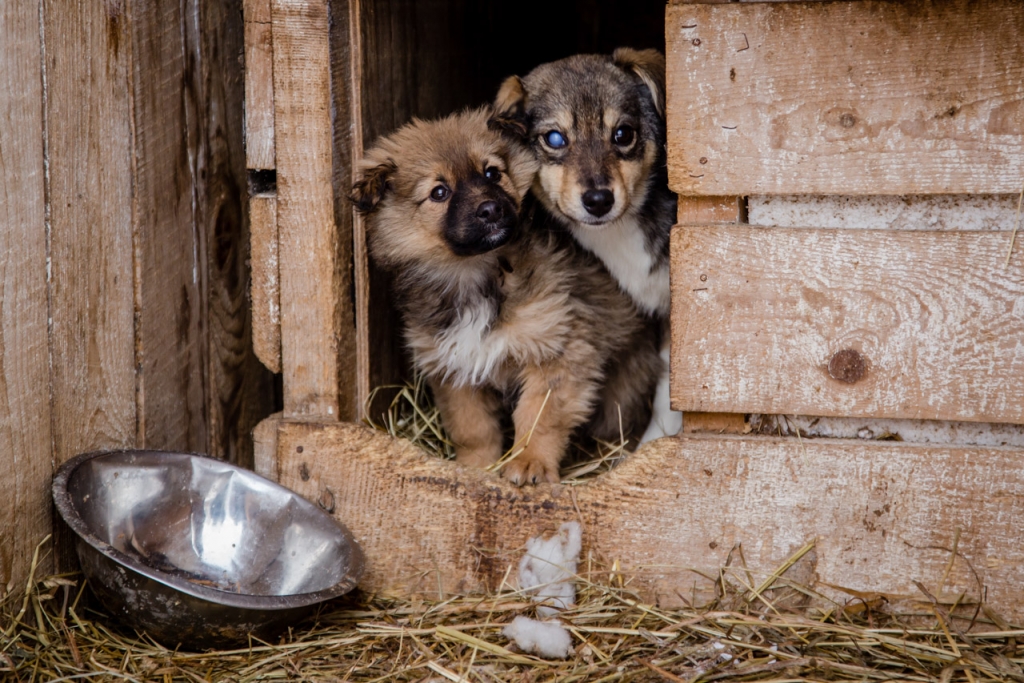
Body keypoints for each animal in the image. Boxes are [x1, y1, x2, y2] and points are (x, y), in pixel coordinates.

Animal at [350, 108, 655, 485]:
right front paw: (476, 470)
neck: (474, 275)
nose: (491, 209)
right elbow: (473, 429)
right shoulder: (453, 367)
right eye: (439, 192)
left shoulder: (558, 350)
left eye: (492, 173)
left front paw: (530, 464)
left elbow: (538, 418)